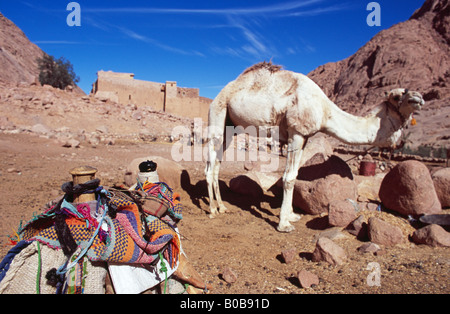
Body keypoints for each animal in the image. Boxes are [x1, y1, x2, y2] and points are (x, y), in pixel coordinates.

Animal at [206, 62, 424, 233]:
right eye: (396, 96)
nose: (419, 98)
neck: (325, 111)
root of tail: (220, 93)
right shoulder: (296, 132)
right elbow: (288, 178)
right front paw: (284, 224)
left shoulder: (306, 137)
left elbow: (295, 175)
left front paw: (292, 215)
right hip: (218, 114)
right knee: (209, 166)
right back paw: (212, 210)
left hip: (230, 127)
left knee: (217, 165)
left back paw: (222, 207)